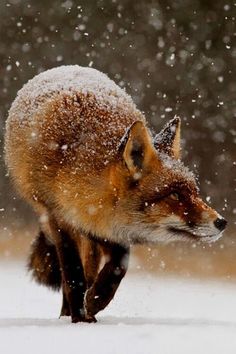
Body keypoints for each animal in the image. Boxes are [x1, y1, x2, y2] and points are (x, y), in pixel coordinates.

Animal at [4, 65, 227, 322]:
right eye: (175, 196)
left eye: (195, 192)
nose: (222, 222)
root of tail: (64, 67)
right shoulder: (58, 219)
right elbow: (72, 276)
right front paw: (79, 318)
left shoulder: (108, 228)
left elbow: (119, 265)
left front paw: (95, 300)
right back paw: (67, 314)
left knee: (93, 268)